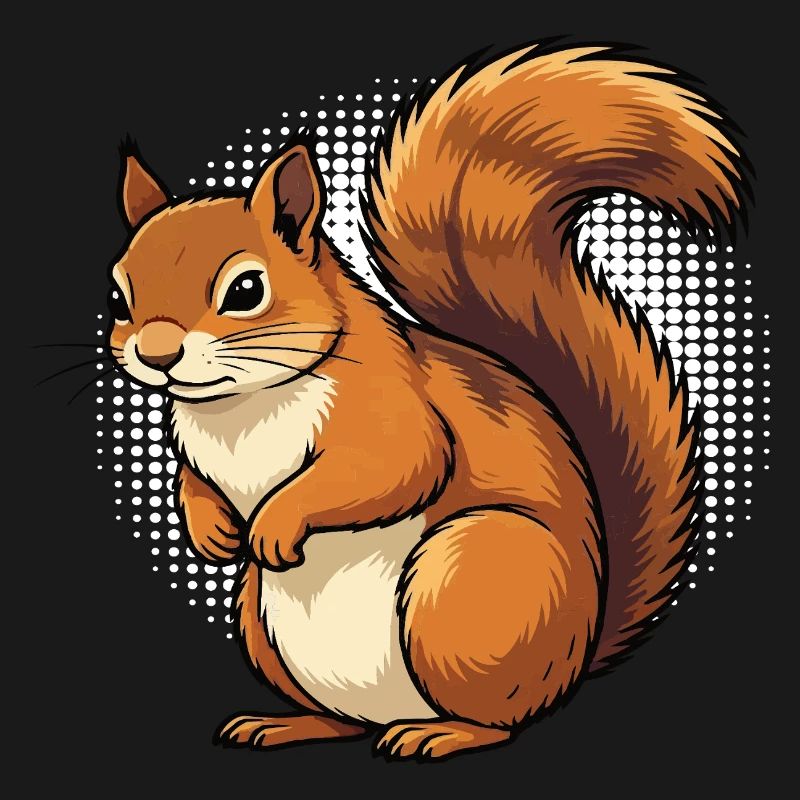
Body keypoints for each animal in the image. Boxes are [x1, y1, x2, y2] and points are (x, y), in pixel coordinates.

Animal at [107, 42, 746, 760]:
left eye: (246, 290)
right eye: (119, 294)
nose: (157, 355)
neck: (239, 406)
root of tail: (573, 662)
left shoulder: (391, 405)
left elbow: (395, 465)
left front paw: (273, 521)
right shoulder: (196, 449)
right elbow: (193, 481)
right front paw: (211, 531)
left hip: (464, 579)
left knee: (501, 721)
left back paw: (439, 734)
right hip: (259, 620)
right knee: (342, 719)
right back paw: (285, 724)